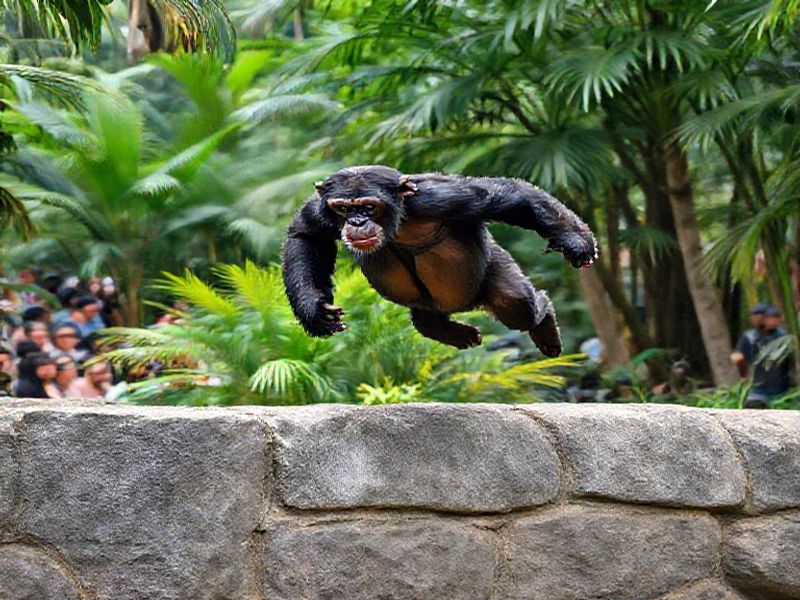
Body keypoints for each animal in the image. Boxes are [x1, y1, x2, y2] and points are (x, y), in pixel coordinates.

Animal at [282, 165, 598, 357]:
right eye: (344, 209)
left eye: (369, 207)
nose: (357, 222)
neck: (399, 222)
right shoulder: (321, 208)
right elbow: (306, 232)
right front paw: (315, 311)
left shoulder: (441, 197)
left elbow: (510, 196)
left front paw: (576, 242)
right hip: (431, 306)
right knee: (425, 320)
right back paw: (456, 333)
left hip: (497, 265)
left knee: (516, 302)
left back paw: (545, 324)